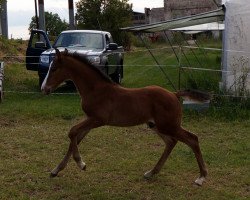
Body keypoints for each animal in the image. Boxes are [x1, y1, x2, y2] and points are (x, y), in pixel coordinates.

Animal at [41, 48, 208, 186]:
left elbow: (72, 132)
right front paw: (56, 170)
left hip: (169, 125)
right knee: (171, 142)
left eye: (54, 68)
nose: (44, 89)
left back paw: (201, 177)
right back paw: (151, 173)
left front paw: (81, 163)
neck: (96, 89)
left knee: (192, 139)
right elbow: (75, 138)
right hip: (156, 125)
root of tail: (174, 94)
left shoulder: (98, 120)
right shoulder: (89, 120)